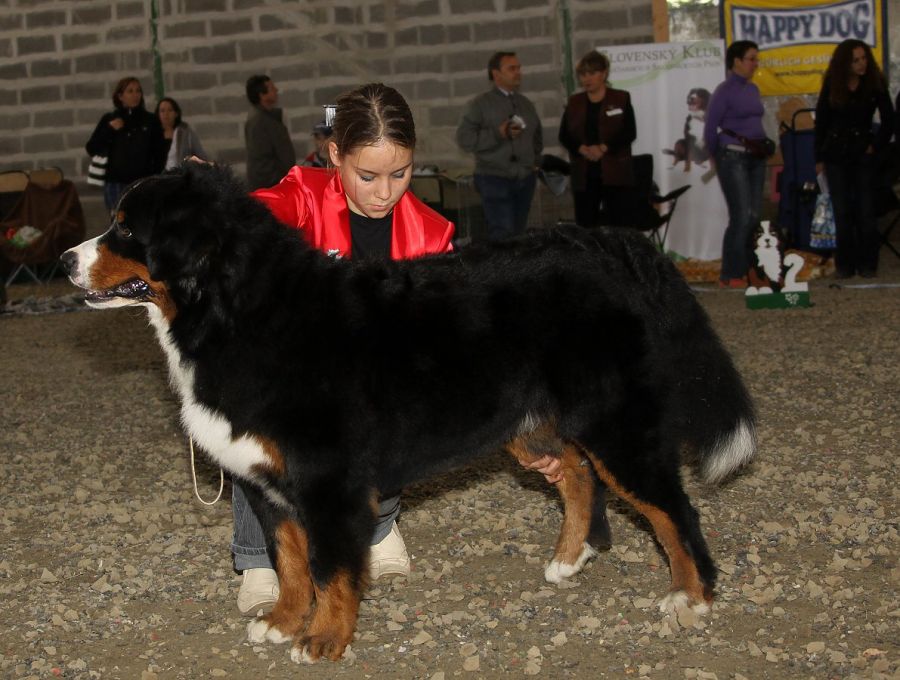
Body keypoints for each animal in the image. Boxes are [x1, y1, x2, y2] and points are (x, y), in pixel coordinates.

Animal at [59, 162, 756, 660]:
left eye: (127, 228)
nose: (66, 260)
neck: (238, 311)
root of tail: (611, 243)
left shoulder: (327, 480)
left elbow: (330, 567)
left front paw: (323, 639)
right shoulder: (267, 482)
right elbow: (288, 562)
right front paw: (281, 622)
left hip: (616, 426)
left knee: (673, 511)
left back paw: (690, 598)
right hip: (531, 425)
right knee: (580, 476)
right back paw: (567, 559)